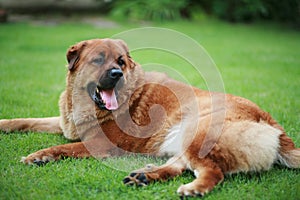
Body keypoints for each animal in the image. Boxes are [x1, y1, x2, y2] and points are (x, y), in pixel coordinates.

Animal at [0, 38, 298, 197]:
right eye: (98, 60)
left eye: (121, 62)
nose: (116, 74)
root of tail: (275, 126)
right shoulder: (64, 123)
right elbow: (29, 120)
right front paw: (4, 124)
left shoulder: (98, 144)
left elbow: (63, 147)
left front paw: (39, 156)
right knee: (180, 164)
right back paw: (145, 175)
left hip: (198, 129)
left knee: (212, 171)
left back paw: (193, 188)